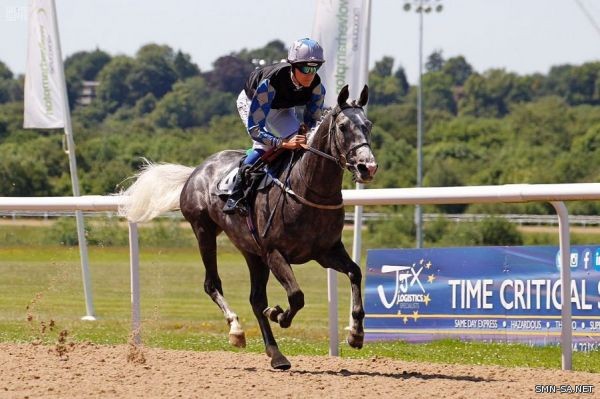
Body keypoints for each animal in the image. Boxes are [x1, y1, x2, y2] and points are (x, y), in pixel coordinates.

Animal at [119, 85, 378, 372]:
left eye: (368, 125)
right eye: (343, 126)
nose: (367, 167)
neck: (306, 188)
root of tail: (196, 171)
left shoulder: (326, 251)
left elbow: (355, 273)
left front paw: (356, 333)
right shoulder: (275, 253)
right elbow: (296, 296)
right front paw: (279, 315)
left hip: (252, 252)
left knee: (256, 299)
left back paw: (276, 355)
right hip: (204, 232)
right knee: (212, 284)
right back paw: (236, 330)